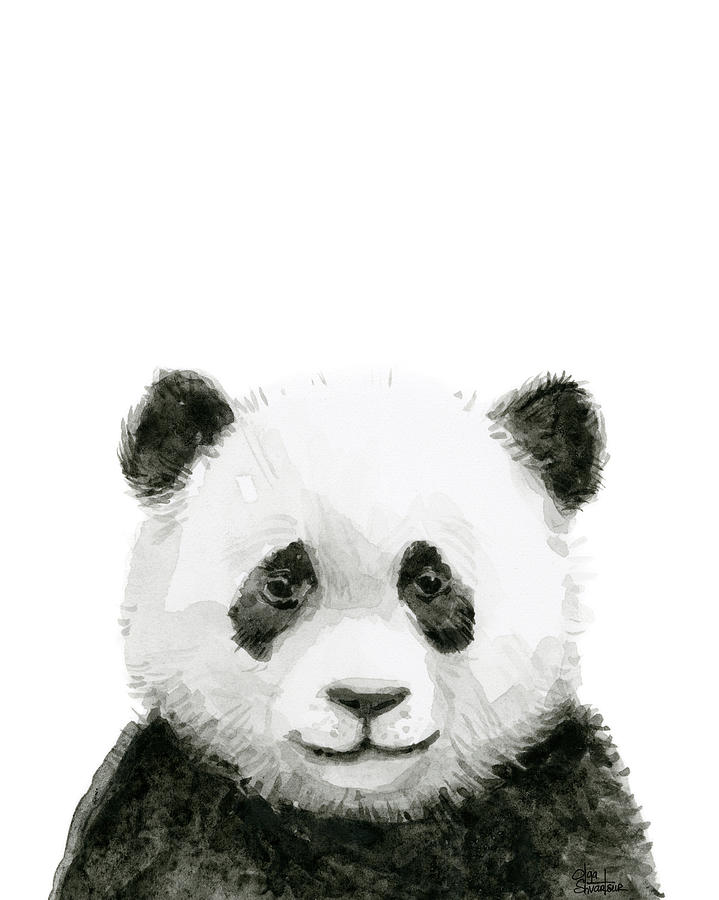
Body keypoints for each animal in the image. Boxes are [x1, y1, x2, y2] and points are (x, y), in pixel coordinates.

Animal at [52, 369, 662, 900]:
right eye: (280, 585)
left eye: (429, 582)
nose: (366, 699)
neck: (367, 825)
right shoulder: (160, 828)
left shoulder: (563, 813)